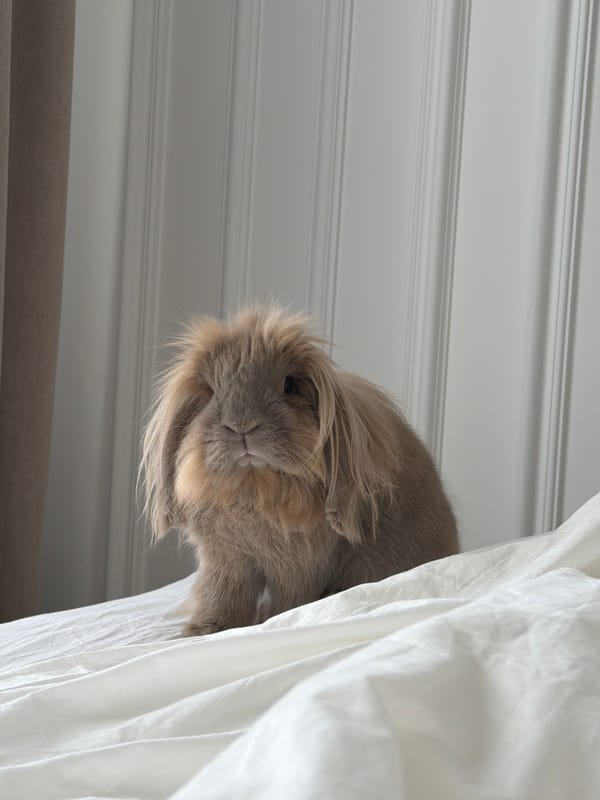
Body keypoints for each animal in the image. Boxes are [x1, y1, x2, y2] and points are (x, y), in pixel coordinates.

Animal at [141, 307, 459, 636]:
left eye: (289, 384)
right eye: (210, 389)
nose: (242, 427)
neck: (255, 486)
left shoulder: (300, 564)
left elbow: (290, 599)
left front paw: (273, 620)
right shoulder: (226, 561)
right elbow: (221, 596)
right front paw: (202, 631)